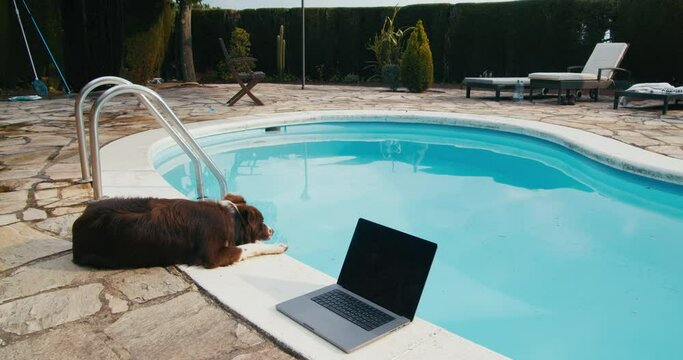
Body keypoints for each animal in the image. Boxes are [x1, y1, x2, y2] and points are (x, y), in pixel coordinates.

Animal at [73, 194, 288, 268]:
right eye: (261, 222)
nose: (273, 230)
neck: (230, 216)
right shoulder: (213, 256)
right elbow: (249, 247)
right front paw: (277, 246)